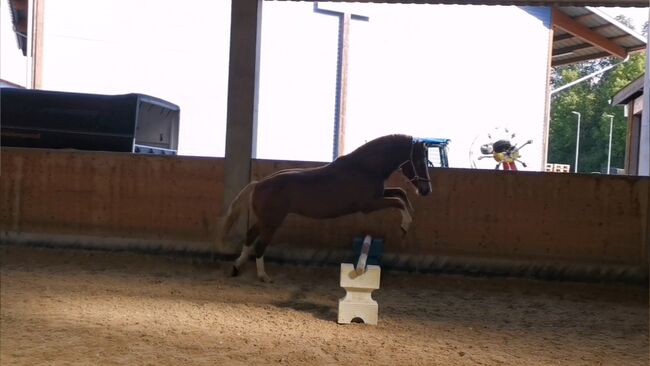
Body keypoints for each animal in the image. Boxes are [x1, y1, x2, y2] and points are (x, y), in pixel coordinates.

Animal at [221, 133, 430, 282]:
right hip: (273, 222)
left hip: (265, 220)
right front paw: (405, 224)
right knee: (260, 245)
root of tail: (257, 184)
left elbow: (400, 193)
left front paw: (410, 213)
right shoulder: (369, 204)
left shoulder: (379, 196)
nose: (426, 190)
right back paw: (263, 276)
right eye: (420, 161)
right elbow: (398, 200)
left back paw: (236, 267)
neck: (365, 168)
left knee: (250, 236)